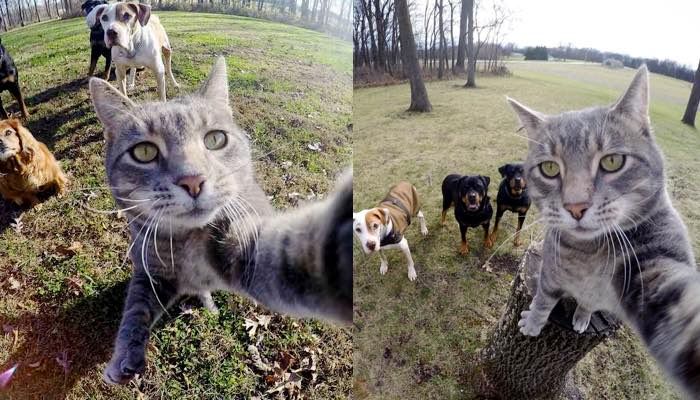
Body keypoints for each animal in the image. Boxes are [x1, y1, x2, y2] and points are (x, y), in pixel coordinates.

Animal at [89, 56, 350, 384]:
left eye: (215, 139)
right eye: (144, 151)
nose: (192, 180)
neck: (185, 245)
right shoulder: (149, 270)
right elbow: (136, 308)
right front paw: (124, 355)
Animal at [508, 66, 700, 396]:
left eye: (612, 161)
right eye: (549, 168)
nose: (575, 207)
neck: (587, 256)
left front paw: (579, 316)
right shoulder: (549, 272)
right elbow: (543, 301)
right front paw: (533, 322)